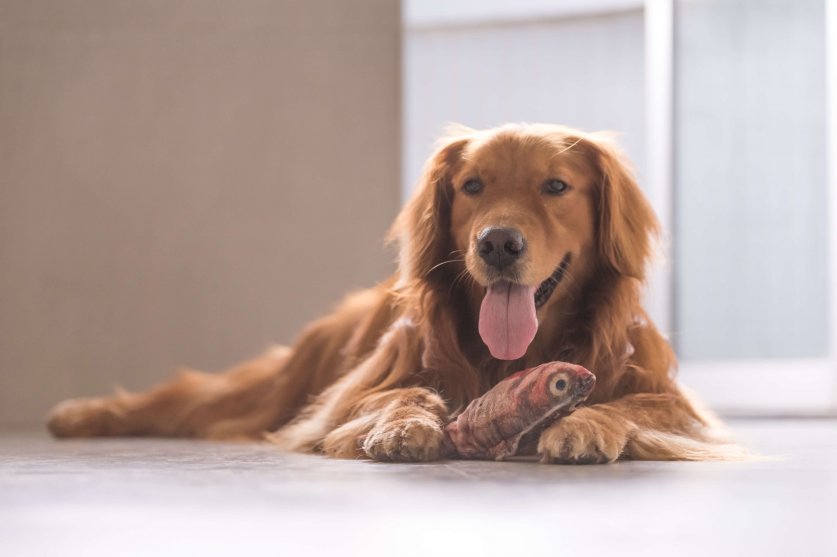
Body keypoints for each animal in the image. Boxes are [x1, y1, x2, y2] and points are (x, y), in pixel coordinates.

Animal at [49, 124, 736, 462]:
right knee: (190, 397)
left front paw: (587, 424)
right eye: (473, 185)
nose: (498, 244)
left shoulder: (678, 406)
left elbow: (632, 405)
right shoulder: (345, 398)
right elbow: (402, 392)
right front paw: (406, 424)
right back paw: (78, 414)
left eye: (556, 186)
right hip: (282, 385)